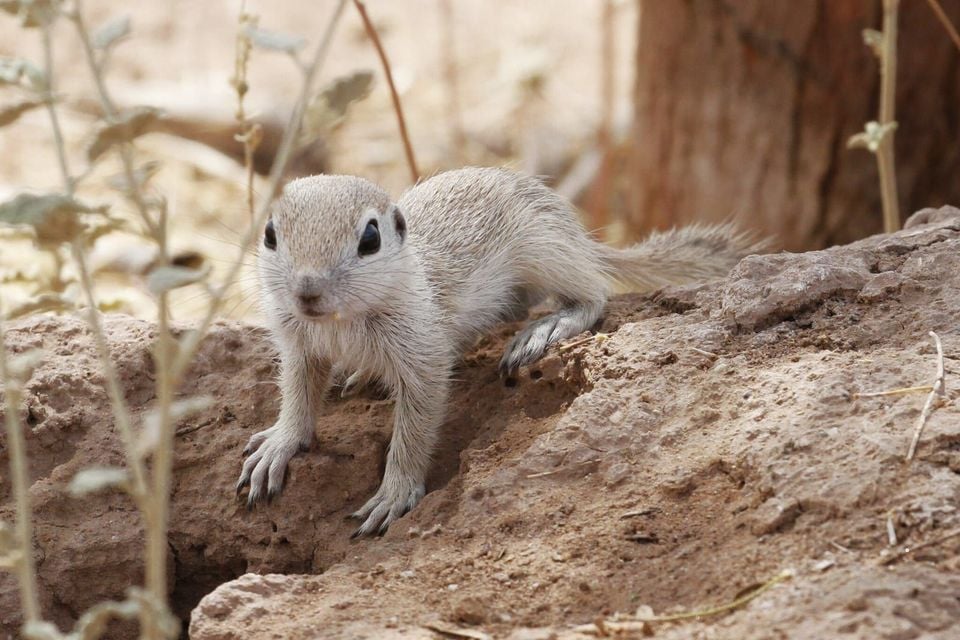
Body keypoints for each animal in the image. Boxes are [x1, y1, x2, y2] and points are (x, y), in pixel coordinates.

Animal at [236, 166, 759, 536]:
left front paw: (394, 492)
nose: (307, 290)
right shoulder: (299, 346)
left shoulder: (422, 355)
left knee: (593, 291)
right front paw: (279, 445)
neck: (338, 324)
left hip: (547, 250)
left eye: (370, 238)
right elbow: (298, 398)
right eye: (269, 234)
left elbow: (415, 430)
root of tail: (579, 236)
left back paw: (547, 327)